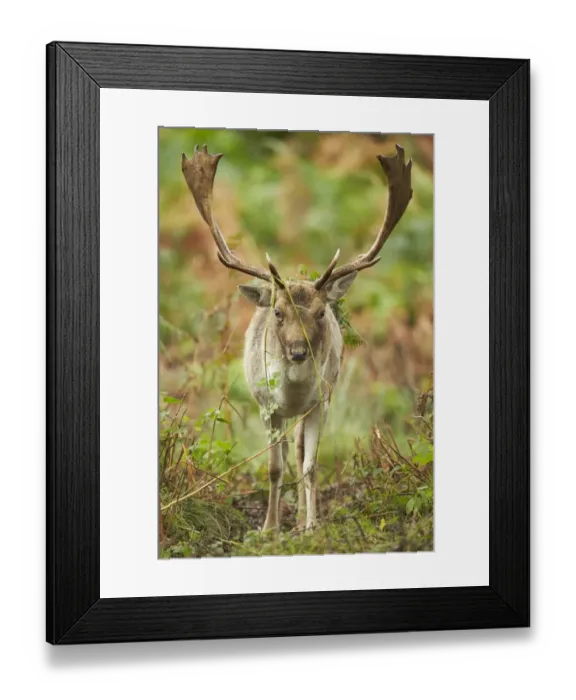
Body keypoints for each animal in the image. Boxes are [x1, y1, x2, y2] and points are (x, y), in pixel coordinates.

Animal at [181, 143, 413, 532]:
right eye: (278, 313)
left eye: (320, 313)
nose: (298, 351)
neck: (289, 393)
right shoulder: (265, 405)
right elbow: (275, 467)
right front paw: (269, 528)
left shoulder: (320, 402)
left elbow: (310, 466)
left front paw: (310, 527)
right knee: (289, 451)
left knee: (303, 451)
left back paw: (305, 518)